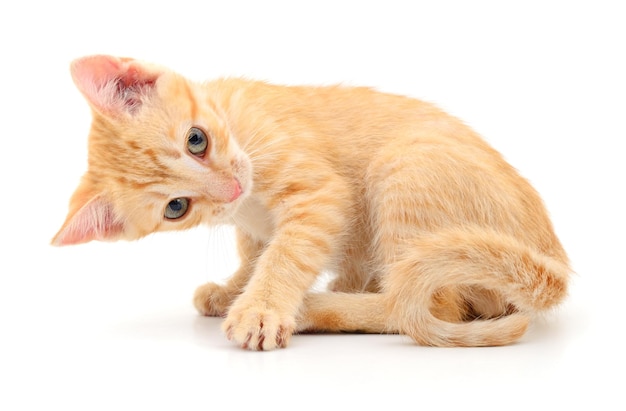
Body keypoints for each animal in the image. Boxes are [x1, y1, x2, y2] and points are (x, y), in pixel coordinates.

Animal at [53, 54, 572, 350]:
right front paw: (234, 289)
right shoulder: (249, 222)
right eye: (176, 207)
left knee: (429, 309)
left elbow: (286, 252)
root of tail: (553, 258)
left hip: (404, 165)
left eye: (196, 140)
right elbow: (256, 252)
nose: (230, 188)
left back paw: (317, 307)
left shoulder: (322, 194)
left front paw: (261, 308)